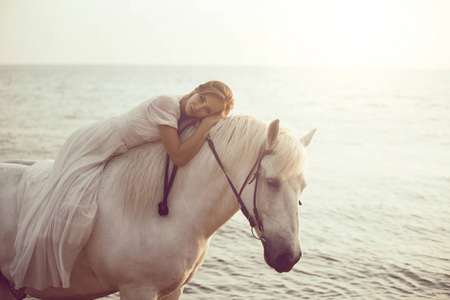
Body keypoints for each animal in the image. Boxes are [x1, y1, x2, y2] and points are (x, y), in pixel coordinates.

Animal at [0, 116, 316, 298]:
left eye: (302, 188)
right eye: (272, 182)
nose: (289, 256)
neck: (171, 213)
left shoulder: (173, 290)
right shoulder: (138, 289)